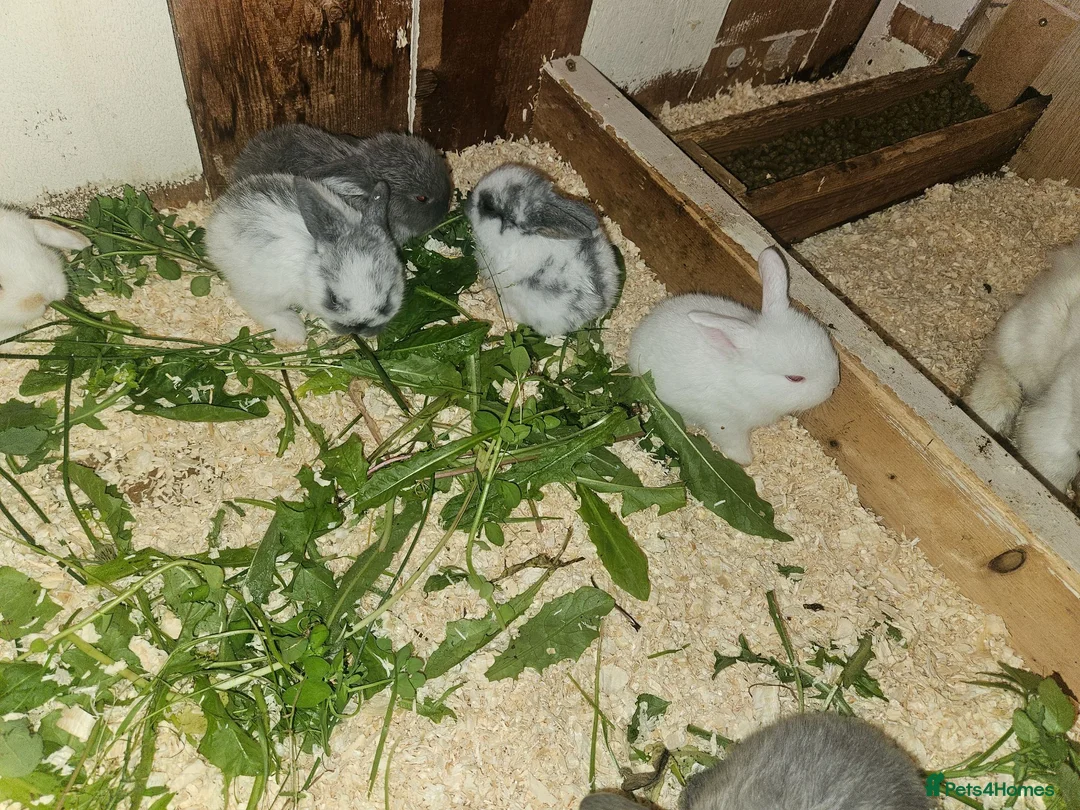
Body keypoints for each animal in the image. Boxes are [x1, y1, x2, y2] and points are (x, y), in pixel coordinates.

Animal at [628, 247, 839, 466]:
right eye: (794, 378)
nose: (833, 386)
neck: (747, 385)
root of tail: (644, 327)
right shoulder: (724, 422)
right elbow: (731, 442)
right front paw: (745, 461)